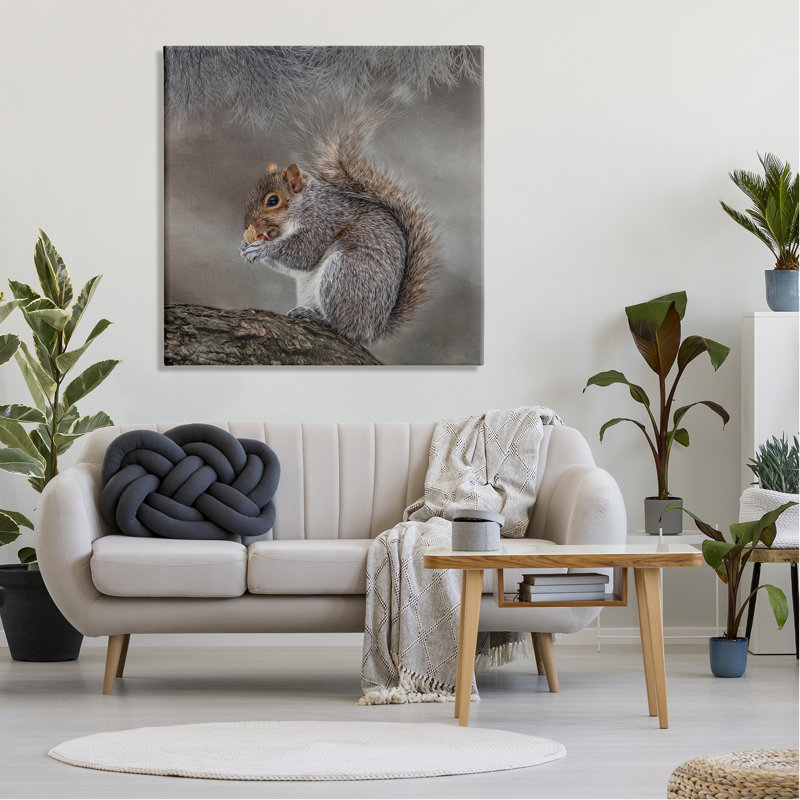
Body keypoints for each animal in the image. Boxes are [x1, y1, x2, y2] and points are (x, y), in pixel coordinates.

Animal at [239, 108, 436, 345]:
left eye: (272, 201)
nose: (248, 225)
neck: (305, 204)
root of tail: (373, 328)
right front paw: (244, 246)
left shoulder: (322, 223)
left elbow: (303, 254)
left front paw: (262, 249)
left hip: (344, 275)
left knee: (343, 326)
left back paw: (317, 318)